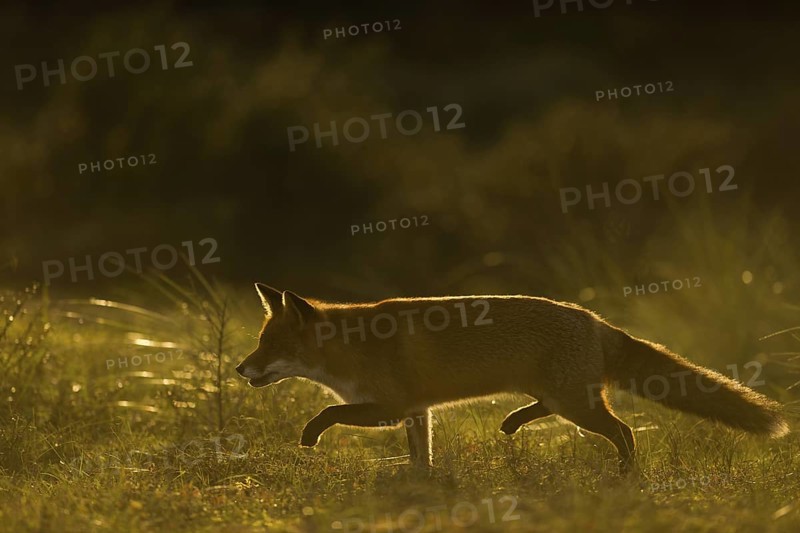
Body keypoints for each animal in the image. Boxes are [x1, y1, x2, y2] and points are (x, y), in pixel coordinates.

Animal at [235, 283, 789, 471]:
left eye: (272, 347)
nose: (241, 369)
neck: (352, 348)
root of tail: (594, 319)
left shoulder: (390, 408)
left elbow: (328, 409)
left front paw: (309, 435)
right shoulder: (416, 412)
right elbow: (421, 458)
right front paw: (422, 486)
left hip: (577, 405)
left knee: (624, 430)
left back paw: (626, 474)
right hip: (566, 397)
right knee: (562, 410)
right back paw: (514, 422)